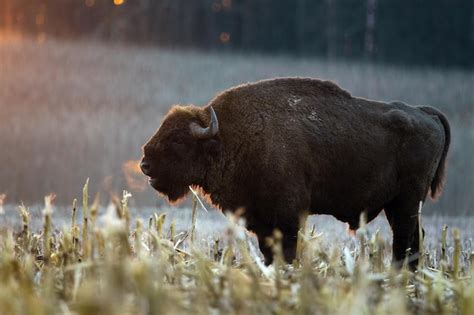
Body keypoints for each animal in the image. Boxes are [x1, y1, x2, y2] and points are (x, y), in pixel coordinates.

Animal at [140, 78, 448, 268]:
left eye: (179, 140)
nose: (145, 164)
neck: (229, 137)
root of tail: (425, 113)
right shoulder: (261, 221)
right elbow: (269, 253)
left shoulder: (288, 216)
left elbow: (287, 252)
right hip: (395, 205)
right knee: (411, 238)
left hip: (407, 201)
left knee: (406, 238)